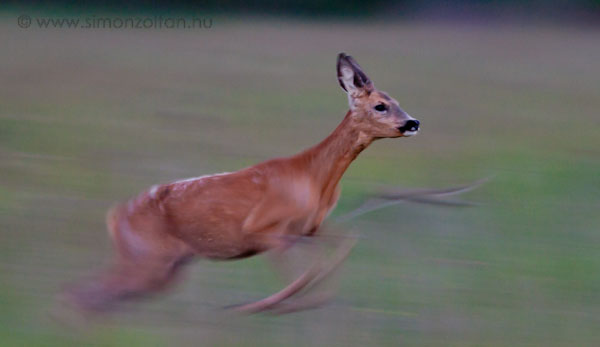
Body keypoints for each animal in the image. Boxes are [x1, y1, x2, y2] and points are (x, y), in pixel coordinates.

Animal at [65, 53, 420, 316]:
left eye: (397, 100)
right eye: (380, 105)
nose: (413, 122)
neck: (312, 175)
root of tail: (116, 216)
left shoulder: (309, 228)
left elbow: (347, 240)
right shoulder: (263, 229)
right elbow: (309, 268)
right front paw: (262, 306)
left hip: (163, 266)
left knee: (91, 294)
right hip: (148, 257)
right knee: (81, 294)